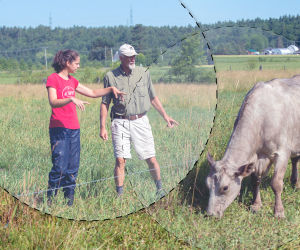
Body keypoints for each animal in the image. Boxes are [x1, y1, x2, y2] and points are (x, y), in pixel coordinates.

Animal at [206, 74, 300, 217]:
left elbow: (276, 183)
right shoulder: (254, 158)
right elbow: (255, 181)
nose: (209, 214)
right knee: (295, 160)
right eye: (207, 184)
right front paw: (256, 205)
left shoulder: (282, 152)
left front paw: (279, 212)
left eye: (225, 188)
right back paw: (295, 183)